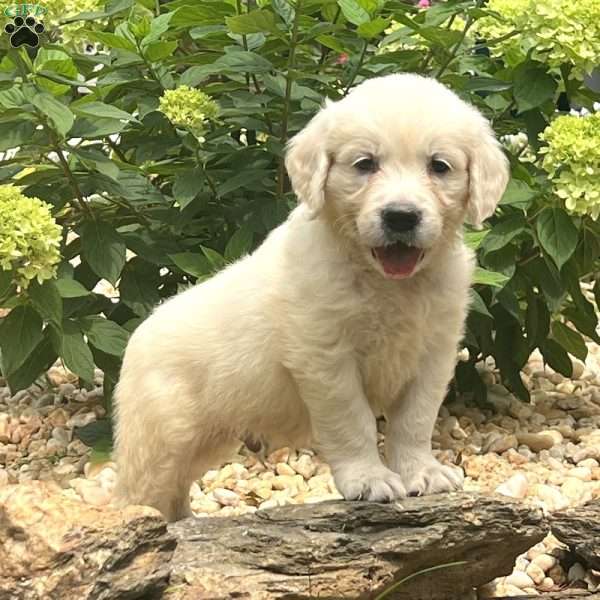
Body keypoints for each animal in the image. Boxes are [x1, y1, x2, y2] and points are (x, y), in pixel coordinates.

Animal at [111, 74, 506, 520]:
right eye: (365, 164)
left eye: (439, 166)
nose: (401, 216)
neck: (384, 281)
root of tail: (137, 335)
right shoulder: (325, 357)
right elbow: (353, 422)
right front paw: (369, 478)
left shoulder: (433, 353)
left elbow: (415, 420)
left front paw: (422, 472)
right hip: (161, 438)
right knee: (140, 492)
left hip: (210, 439)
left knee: (175, 492)